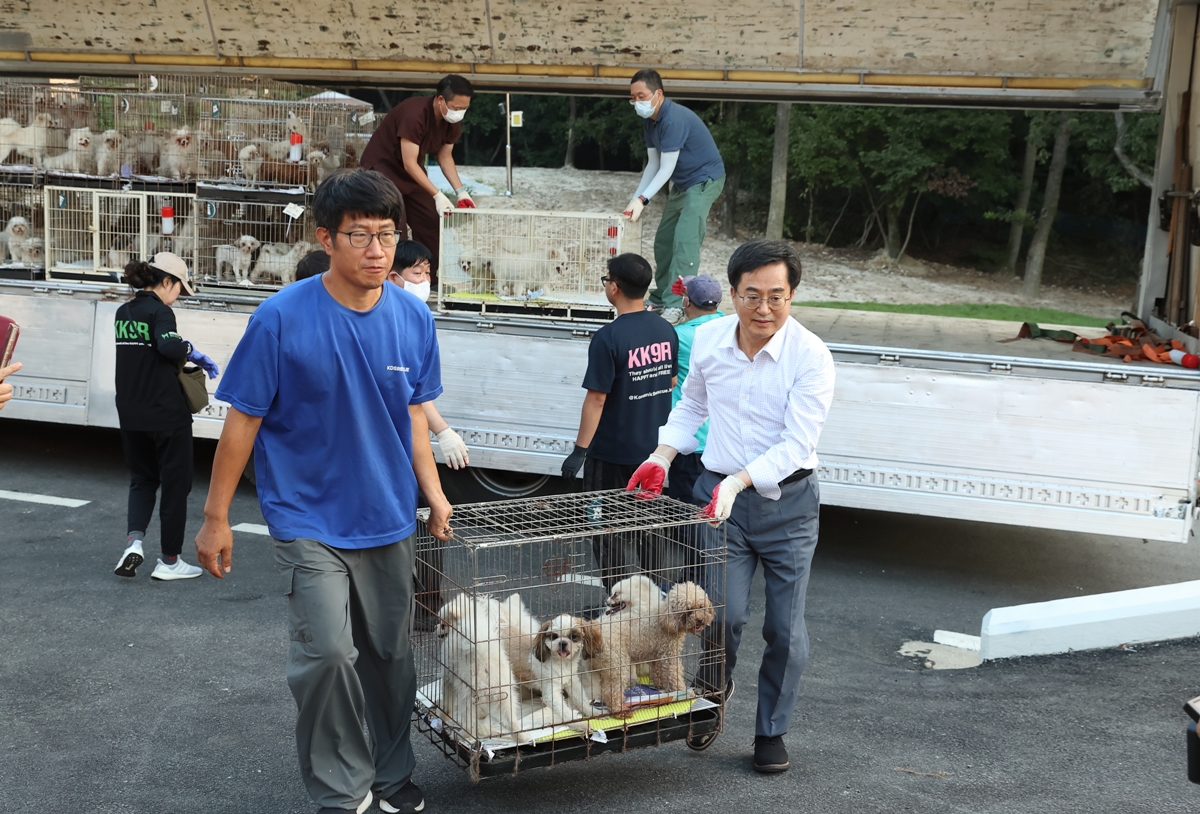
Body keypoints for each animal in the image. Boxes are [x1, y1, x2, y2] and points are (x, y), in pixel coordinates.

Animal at [432, 595, 525, 744]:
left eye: (443, 625)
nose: (434, 627)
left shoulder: (448, 675)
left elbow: (447, 703)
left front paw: (442, 714)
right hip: (506, 695)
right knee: (512, 720)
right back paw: (522, 737)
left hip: (468, 696)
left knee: (469, 724)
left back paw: (462, 736)